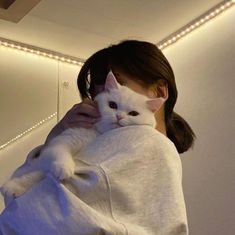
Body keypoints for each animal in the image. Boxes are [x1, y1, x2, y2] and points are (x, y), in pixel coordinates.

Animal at [0, 71, 165, 198]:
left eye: (133, 114)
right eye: (112, 105)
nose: (119, 117)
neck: (97, 133)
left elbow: (38, 174)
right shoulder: (61, 143)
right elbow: (59, 154)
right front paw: (64, 168)